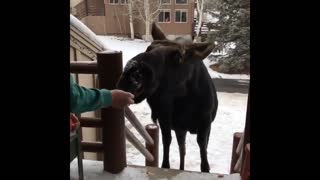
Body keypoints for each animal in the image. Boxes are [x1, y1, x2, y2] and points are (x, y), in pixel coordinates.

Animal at [117, 23, 220, 172]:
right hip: (179, 127)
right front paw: (166, 166)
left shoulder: (206, 122)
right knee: (182, 149)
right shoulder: (167, 121)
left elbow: (203, 151)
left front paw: (205, 168)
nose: (131, 73)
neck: (185, 101)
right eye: (149, 47)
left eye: (178, 56)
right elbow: (167, 145)